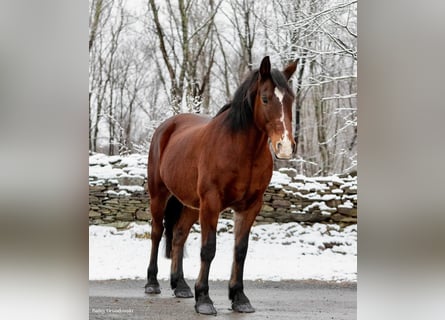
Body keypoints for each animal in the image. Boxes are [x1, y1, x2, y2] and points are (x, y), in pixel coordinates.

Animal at [146, 55, 298, 316]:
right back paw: (152, 283)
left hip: (191, 205)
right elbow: (208, 248)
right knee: (157, 233)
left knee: (178, 236)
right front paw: (204, 299)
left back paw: (180, 285)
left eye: (291, 99)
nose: (285, 146)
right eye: (265, 98)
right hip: (159, 195)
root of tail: (166, 127)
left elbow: (240, 250)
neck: (241, 150)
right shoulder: (211, 202)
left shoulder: (250, 206)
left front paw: (239, 298)